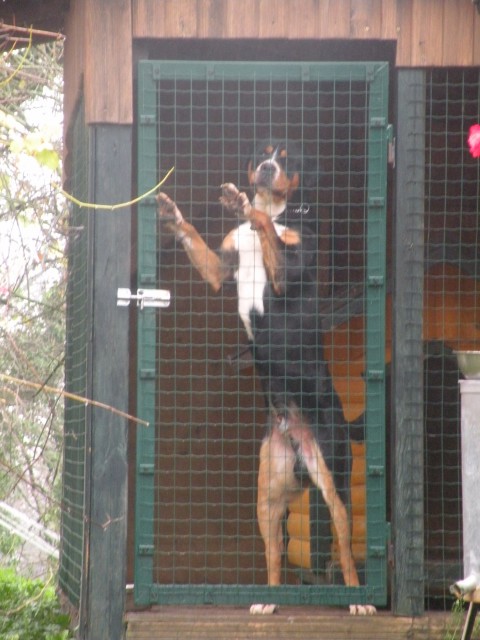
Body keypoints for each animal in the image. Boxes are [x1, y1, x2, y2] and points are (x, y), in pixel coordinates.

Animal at [158, 141, 376, 616]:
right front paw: (175, 214)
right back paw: (267, 602)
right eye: (263, 151)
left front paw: (242, 203)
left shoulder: (285, 274)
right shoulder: (221, 269)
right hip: (267, 498)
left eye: (288, 157)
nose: (266, 167)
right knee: (274, 553)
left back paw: (358, 602)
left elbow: (264, 228)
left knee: (346, 547)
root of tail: (297, 436)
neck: (278, 211)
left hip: (334, 481)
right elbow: (197, 237)